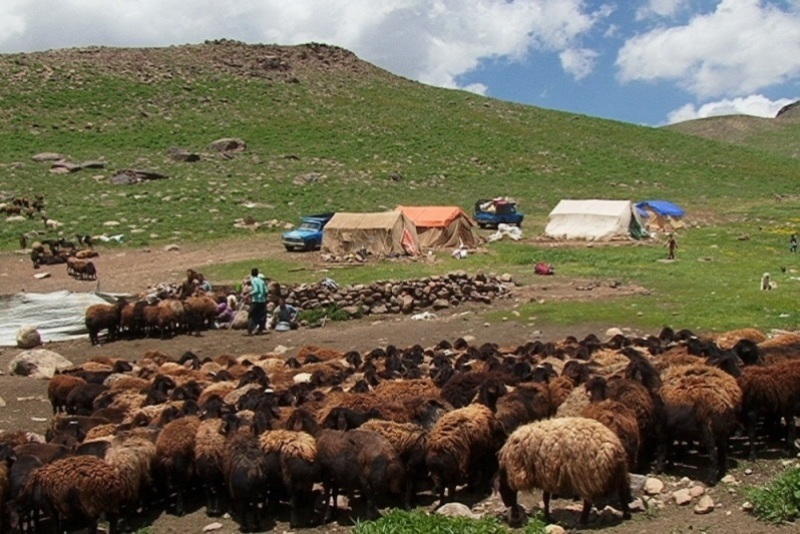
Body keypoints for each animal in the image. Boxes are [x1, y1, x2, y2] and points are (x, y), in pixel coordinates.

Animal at [500, 418, 632, 528]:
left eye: (502, 490)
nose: (506, 504)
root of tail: (614, 447)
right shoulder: (547, 476)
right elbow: (545, 498)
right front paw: (547, 516)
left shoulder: (544, 475)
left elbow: (541, 498)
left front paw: (542, 516)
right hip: (619, 472)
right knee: (623, 491)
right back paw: (626, 514)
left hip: (587, 476)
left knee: (588, 502)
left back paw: (582, 521)